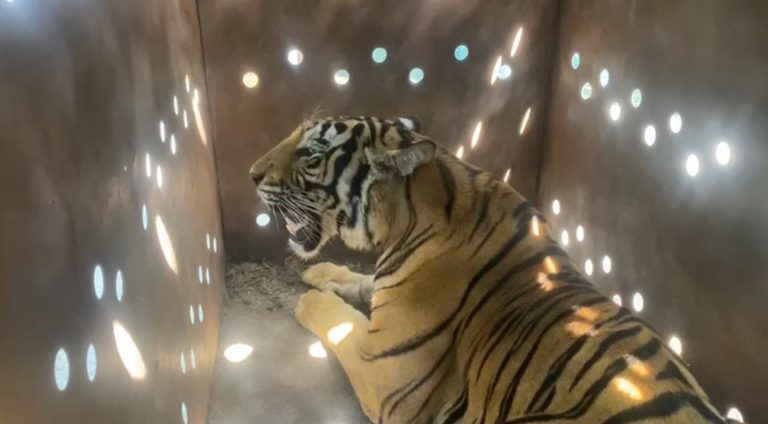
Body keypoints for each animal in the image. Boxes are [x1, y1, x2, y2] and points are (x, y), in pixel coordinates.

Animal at [248, 115, 740, 424]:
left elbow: (341, 321)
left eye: (311, 153)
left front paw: (310, 298)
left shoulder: (385, 369)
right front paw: (322, 274)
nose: (251, 174)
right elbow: (362, 281)